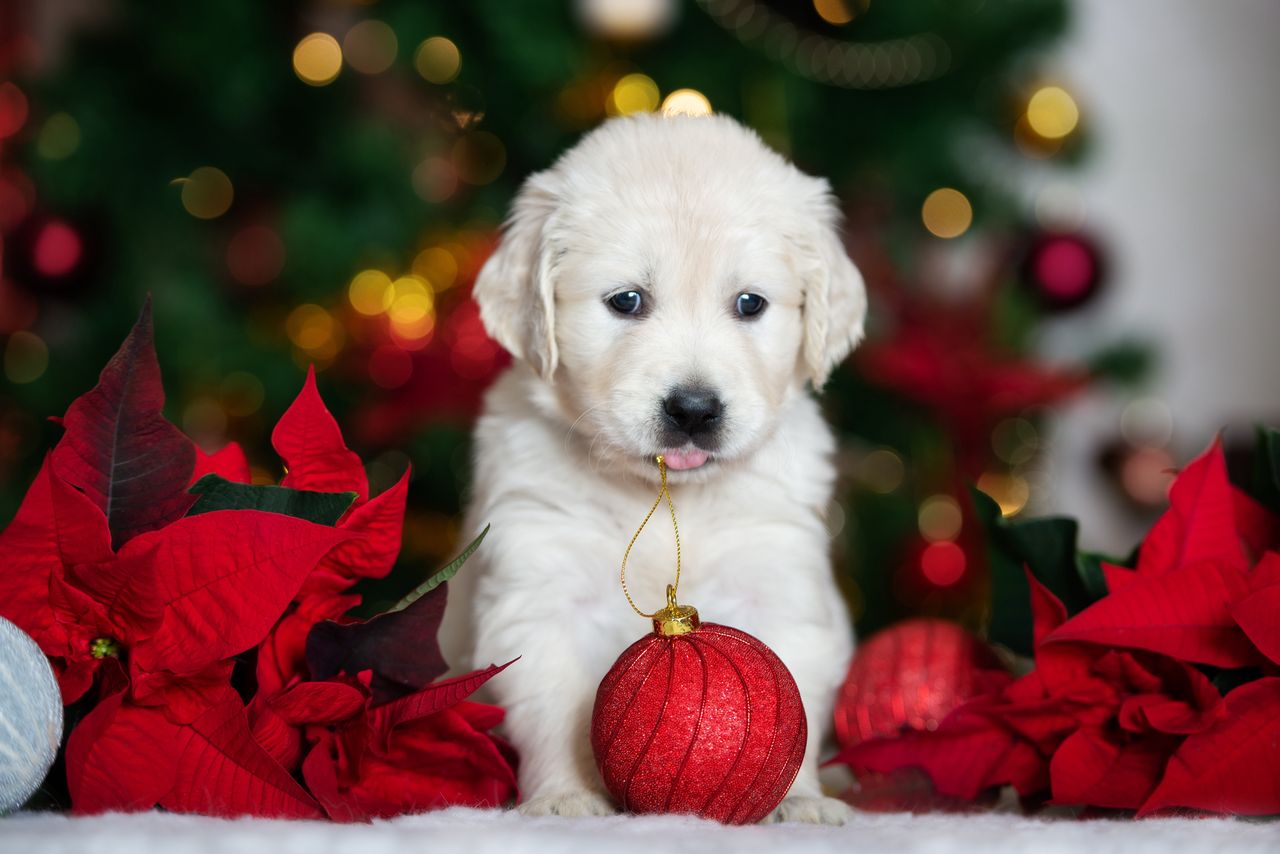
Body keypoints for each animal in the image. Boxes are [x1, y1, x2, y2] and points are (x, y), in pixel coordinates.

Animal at [440, 112, 870, 819]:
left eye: (750, 304)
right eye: (626, 300)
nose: (694, 410)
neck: (664, 494)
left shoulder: (779, 579)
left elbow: (796, 698)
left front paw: (802, 800)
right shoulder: (540, 587)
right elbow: (553, 706)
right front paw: (565, 796)